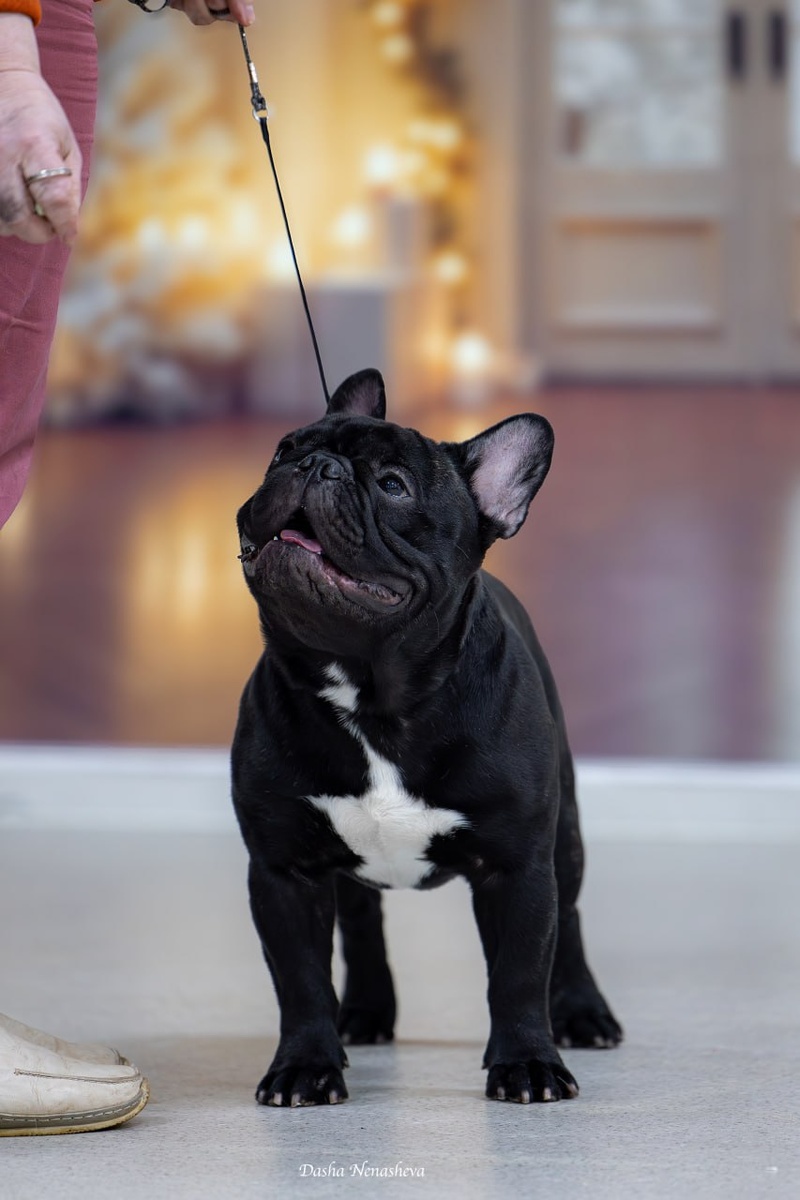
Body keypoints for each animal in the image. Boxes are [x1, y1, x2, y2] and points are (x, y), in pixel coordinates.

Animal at [232, 368, 622, 1108]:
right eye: (281, 450)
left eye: (393, 486)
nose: (314, 466)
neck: (372, 692)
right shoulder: (285, 872)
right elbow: (299, 981)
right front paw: (304, 1066)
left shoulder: (516, 868)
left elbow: (520, 972)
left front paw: (528, 1064)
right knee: (360, 925)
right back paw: (364, 1011)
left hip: (564, 838)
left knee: (573, 919)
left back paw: (584, 1012)